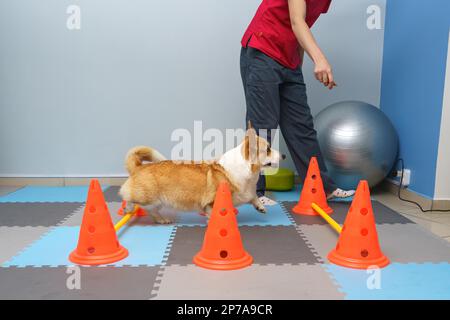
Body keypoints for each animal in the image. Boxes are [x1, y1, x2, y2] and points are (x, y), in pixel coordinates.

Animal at [119, 124, 282, 224]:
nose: (284, 156)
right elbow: (214, 212)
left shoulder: (247, 193)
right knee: (129, 198)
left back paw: (162, 220)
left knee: (151, 211)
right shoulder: (212, 202)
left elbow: (254, 197)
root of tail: (138, 167)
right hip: (147, 197)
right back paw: (127, 208)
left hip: (157, 203)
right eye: (268, 149)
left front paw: (260, 207)